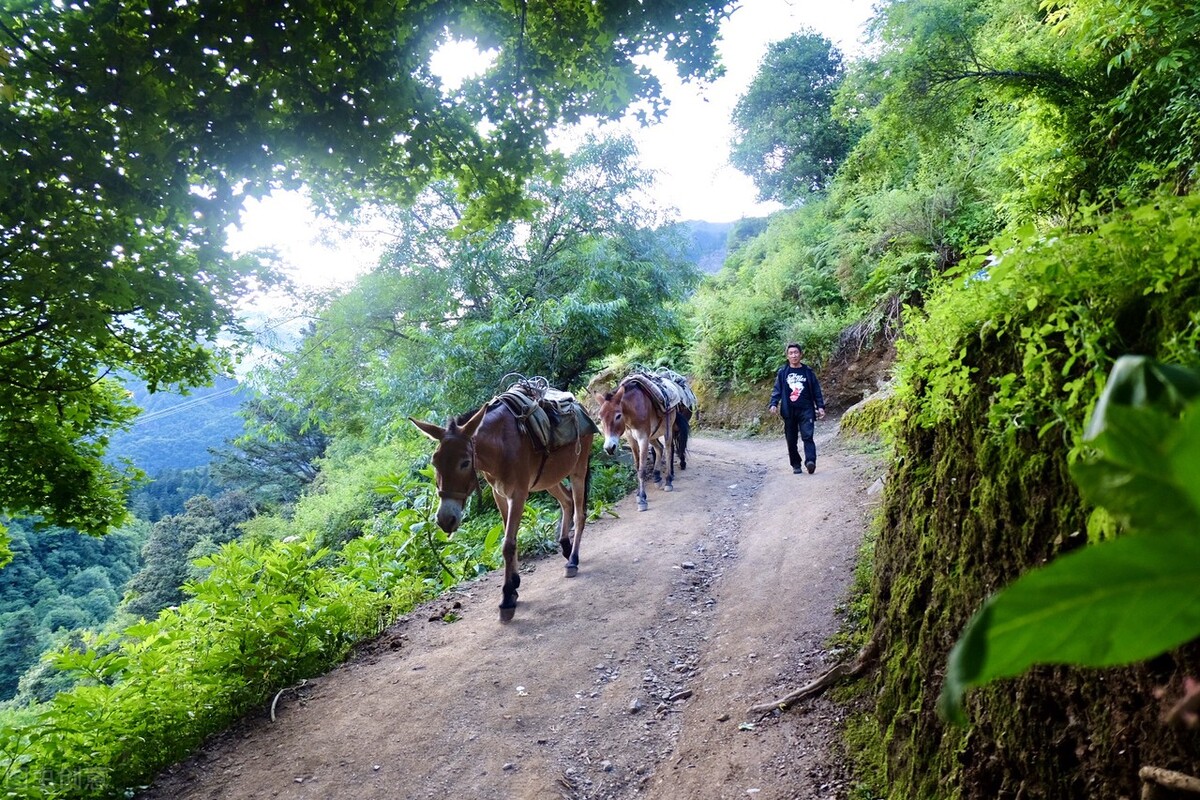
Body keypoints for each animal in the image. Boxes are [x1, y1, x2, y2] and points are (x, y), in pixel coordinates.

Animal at [412, 402, 595, 623]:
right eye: (434, 463)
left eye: (465, 463)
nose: (445, 520)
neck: (500, 447)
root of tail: (579, 404)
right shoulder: (499, 494)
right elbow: (512, 540)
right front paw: (514, 585)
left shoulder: (518, 495)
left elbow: (508, 544)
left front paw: (507, 597)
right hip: (549, 478)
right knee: (567, 501)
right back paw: (566, 547)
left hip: (578, 469)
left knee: (579, 513)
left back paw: (573, 560)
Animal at [595, 381, 681, 513]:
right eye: (600, 419)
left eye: (618, 416)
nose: (609, 448)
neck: (631, 413)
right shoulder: (631, 439)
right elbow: (636, 467)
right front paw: (638, 495)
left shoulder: (643, 439)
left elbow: (641, 470)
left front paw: (642, 499)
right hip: (653, 435)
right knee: (659, 448)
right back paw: (657, 478)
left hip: (667, 430)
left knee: (668, 450)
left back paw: (668, 481)